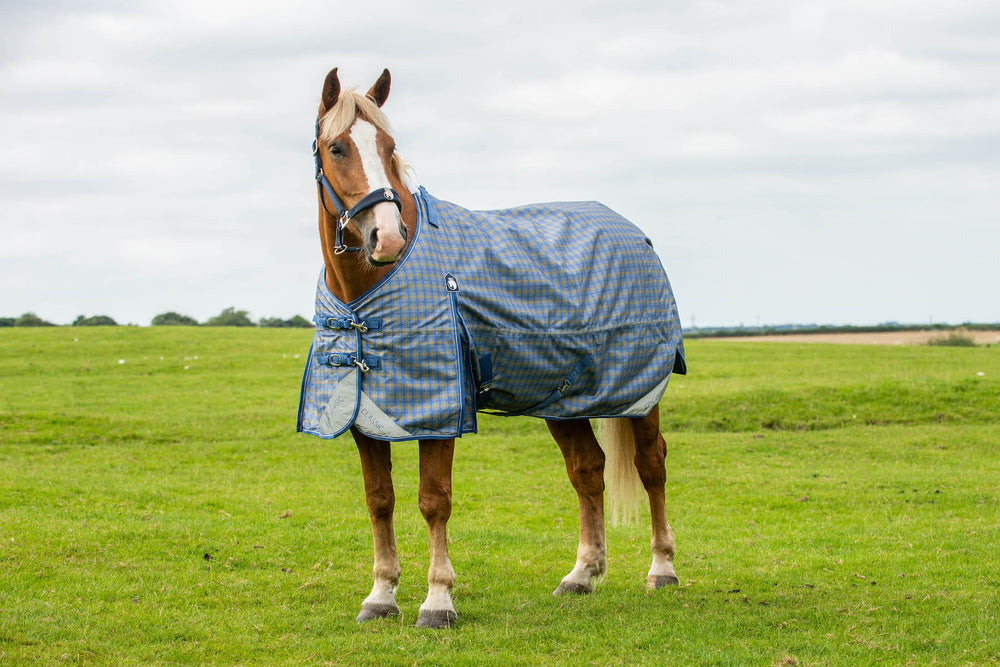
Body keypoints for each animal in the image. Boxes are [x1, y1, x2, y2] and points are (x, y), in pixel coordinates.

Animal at [298, 67, 685, 628]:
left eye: (390, 148)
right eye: (337, 147)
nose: (387, 237)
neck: (365, 298)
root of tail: (636, 234)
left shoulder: (441, 410)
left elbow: (433, 500)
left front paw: (437, 601)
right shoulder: (362, 412)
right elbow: (379, 500)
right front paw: (381, 595)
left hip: (640, 390)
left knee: (651, 464)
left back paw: (662, 568)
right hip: (564, 398)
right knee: (588, 471)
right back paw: (582, 574)